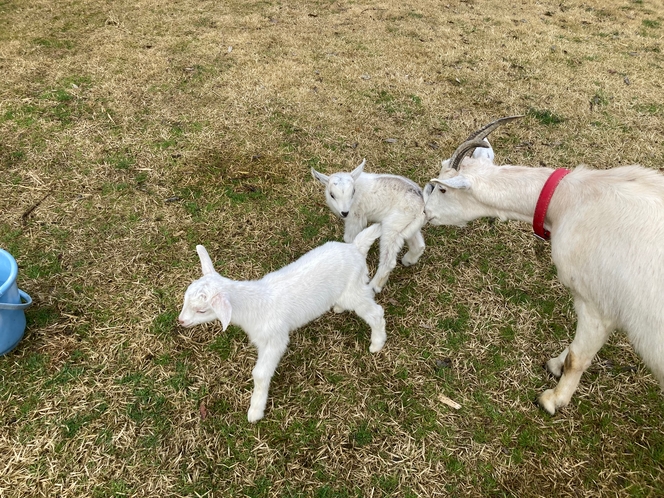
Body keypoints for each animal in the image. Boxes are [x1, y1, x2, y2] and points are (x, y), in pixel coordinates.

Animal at [422, 115, 664, 412]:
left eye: (443, 188)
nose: (426, 212)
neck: (569, 199)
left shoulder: (597, 302)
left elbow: (578, 357)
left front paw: (553, 399)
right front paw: (555, 364)